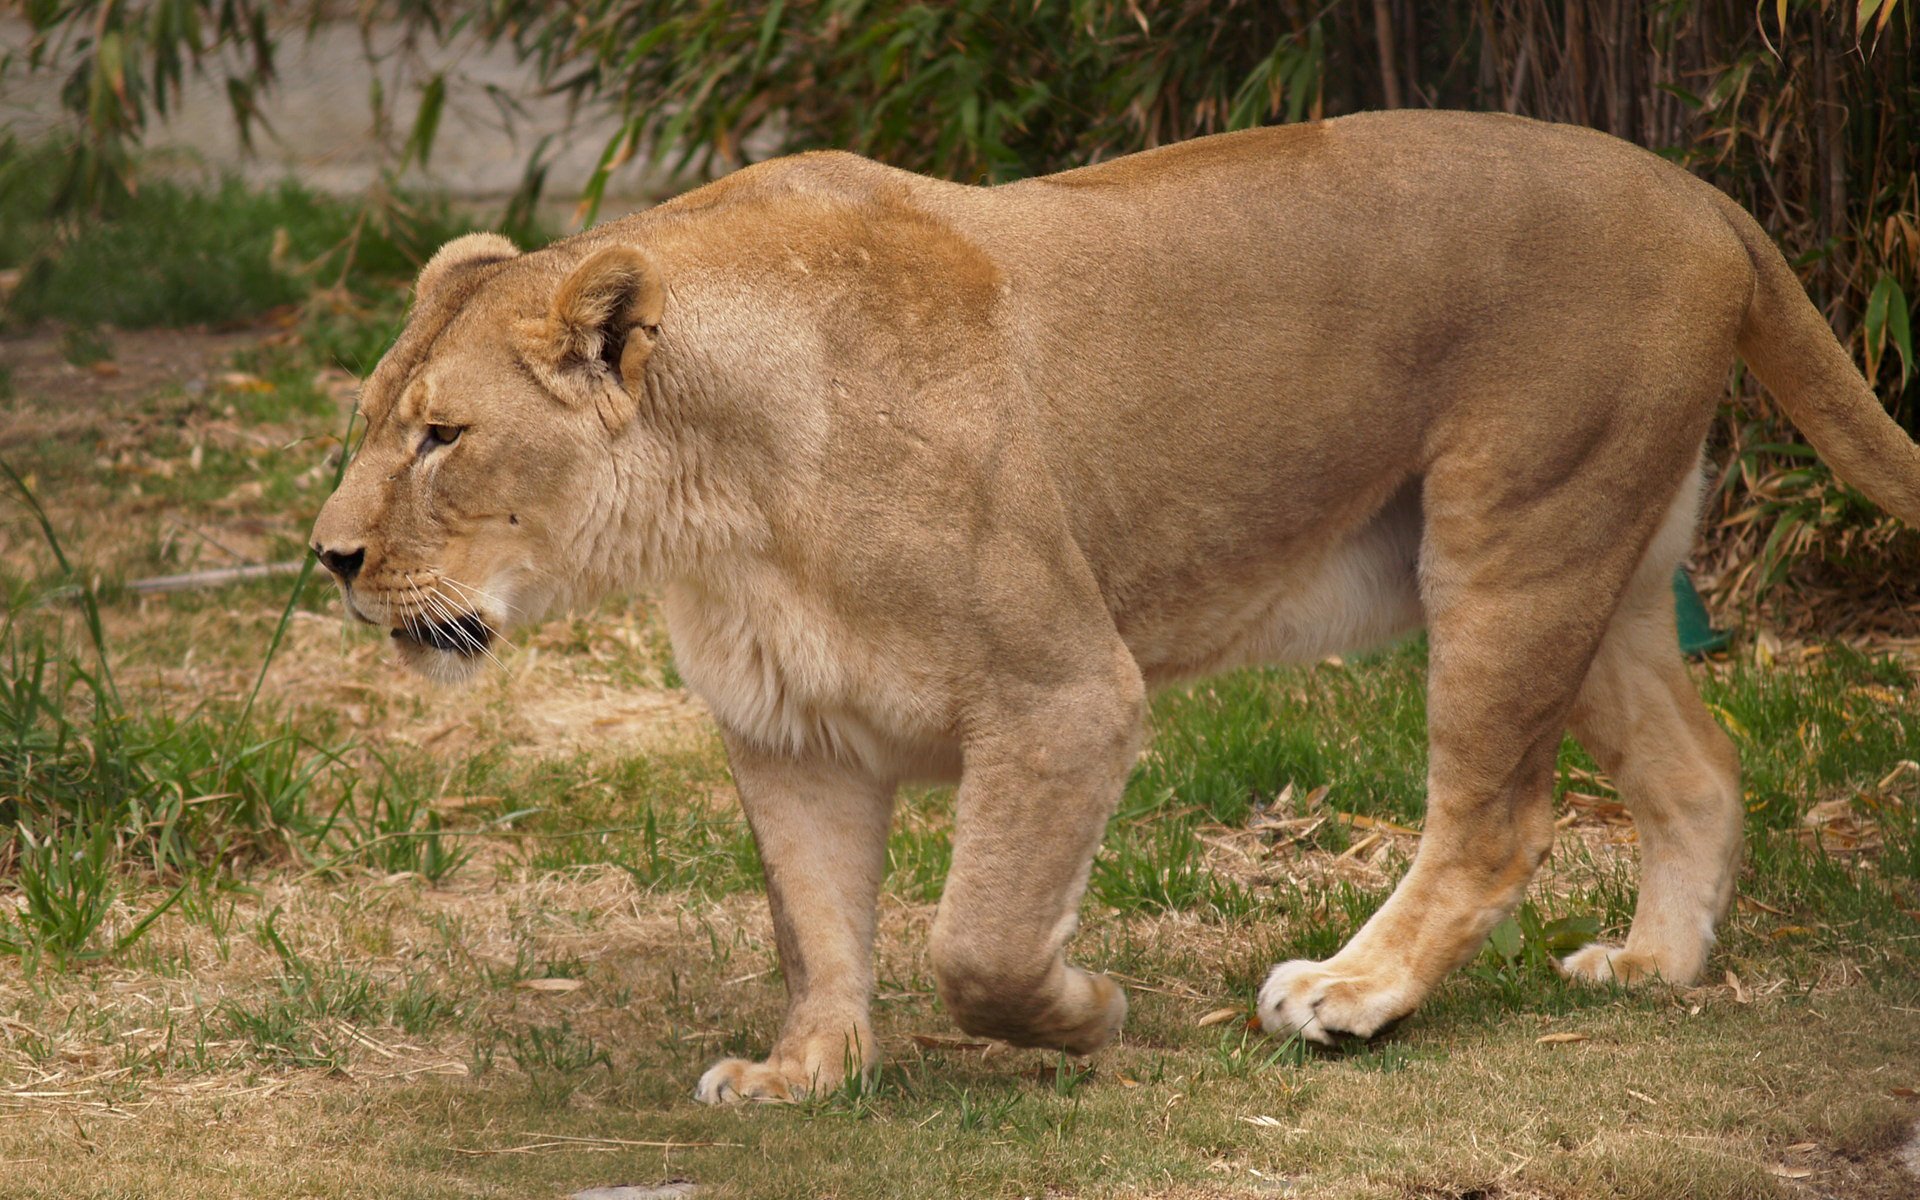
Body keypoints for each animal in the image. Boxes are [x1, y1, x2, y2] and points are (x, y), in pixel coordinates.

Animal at [310, 109, 1920, 1103]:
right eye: (376, 421)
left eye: (443, 437)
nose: (329, 560)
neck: (715, 509)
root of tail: (1707, 193)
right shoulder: (792, 731)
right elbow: (820, 931)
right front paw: (807, 1074)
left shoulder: (1062, 692)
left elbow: (981, 938)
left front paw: (1086, 1018)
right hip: (1599, 568)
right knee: (1701, 770)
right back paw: (1652, 967)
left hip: (1512, 542)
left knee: (1495, 819)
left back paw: (1353, 993)